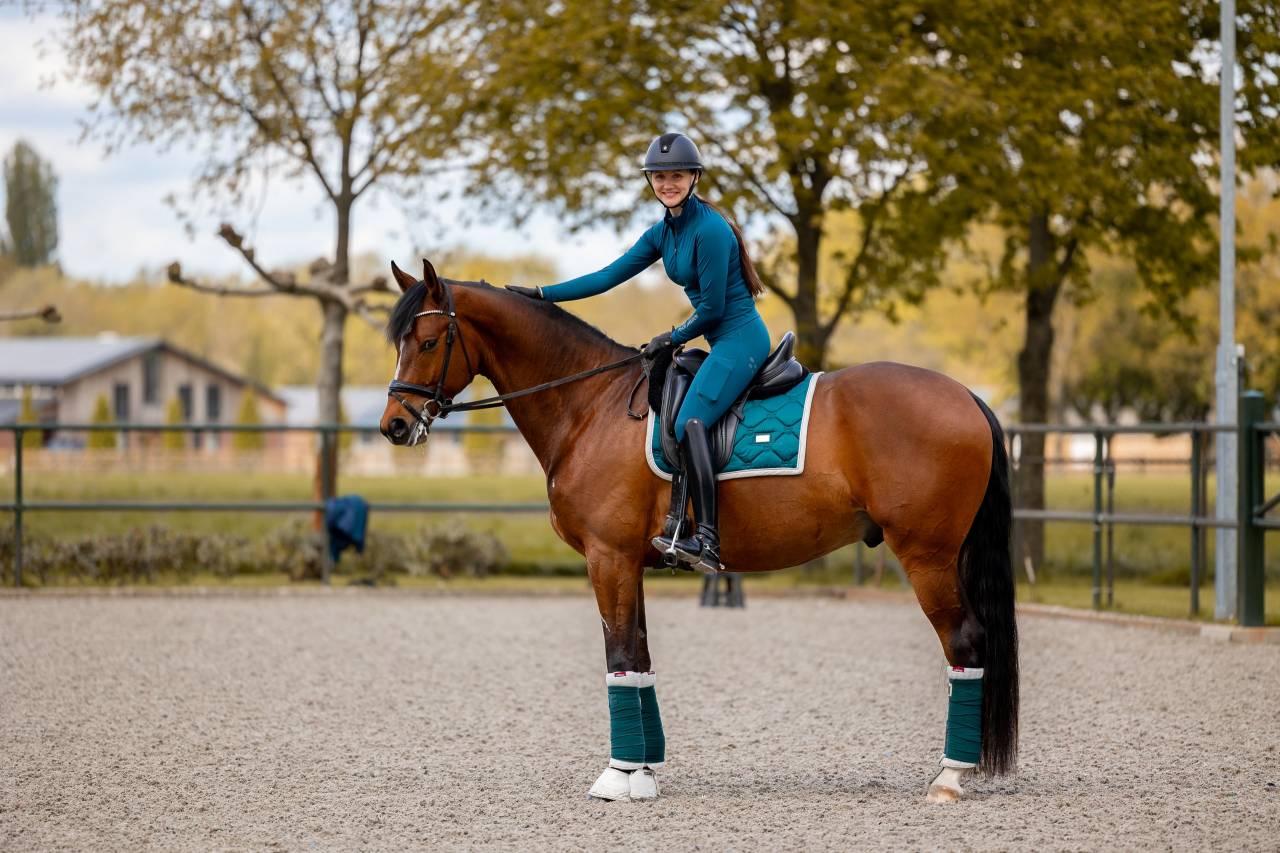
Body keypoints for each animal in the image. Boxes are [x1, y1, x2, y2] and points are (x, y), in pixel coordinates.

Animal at [379, 260, 1018, 804]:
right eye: (400, 343)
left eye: (429, 342)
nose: (393, 426)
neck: (592, 405)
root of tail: (964, 395)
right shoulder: (627, 563)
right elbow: (639, 657)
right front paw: (643, 771)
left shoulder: (607, 558)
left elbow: (619, 655)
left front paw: (618, 775)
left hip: (928, 556)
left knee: (964, 643)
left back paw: (949, 777)